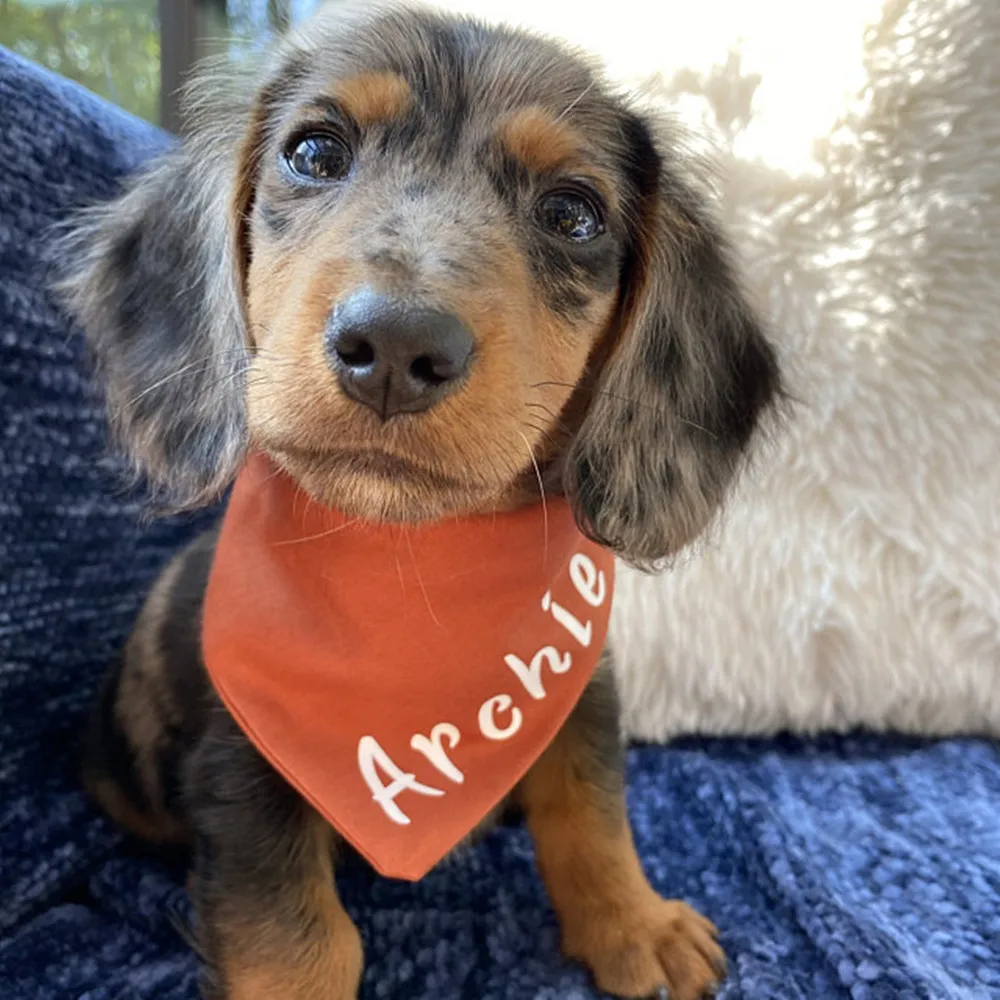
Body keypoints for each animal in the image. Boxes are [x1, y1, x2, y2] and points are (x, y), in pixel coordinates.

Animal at [60, 3, 780, 996]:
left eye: (573, 213)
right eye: (314, 153)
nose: (397, 347)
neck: (414, 568)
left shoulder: (582, 695)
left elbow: (591, 812)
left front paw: (634, 922)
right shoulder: (242, 766)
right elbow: (296, 941)